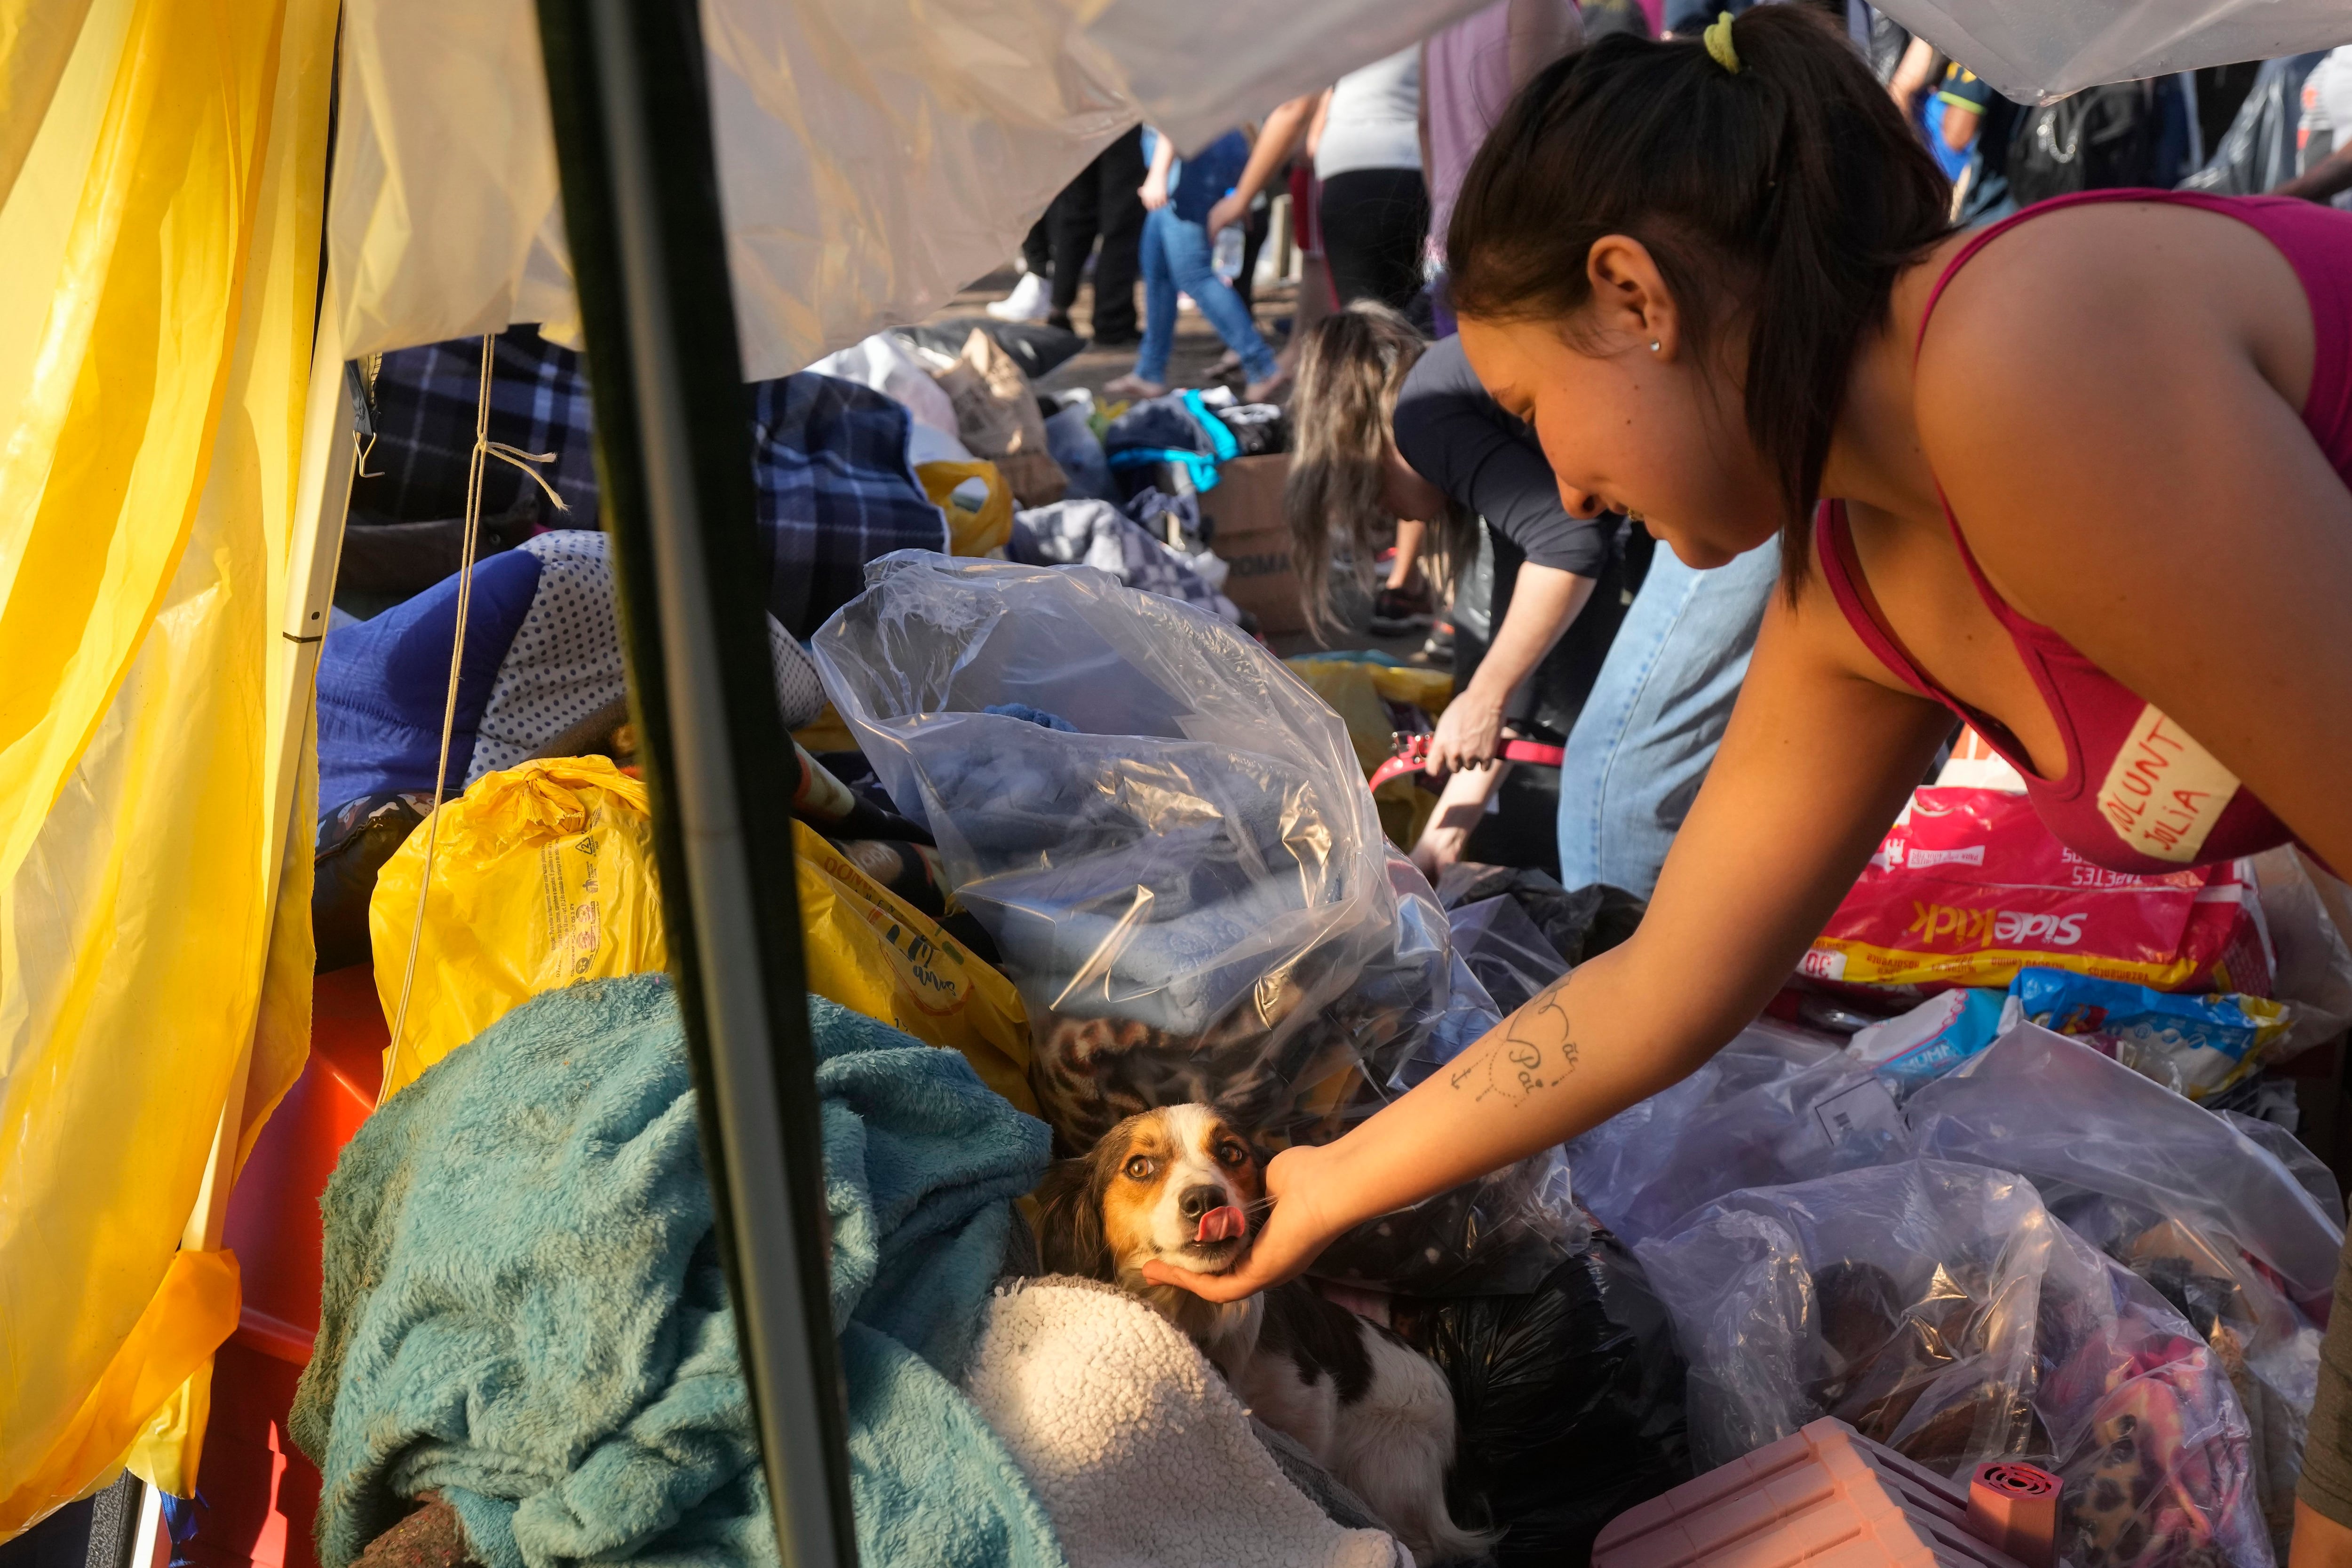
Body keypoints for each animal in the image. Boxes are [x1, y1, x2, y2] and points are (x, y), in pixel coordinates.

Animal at [1035, 1105, 1486, 1568]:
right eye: (1140, 1167)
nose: (1206, 1201)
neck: (1199, 1314)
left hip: (1386, 1469)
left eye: (1231, 1153)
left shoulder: (1309, 1408)